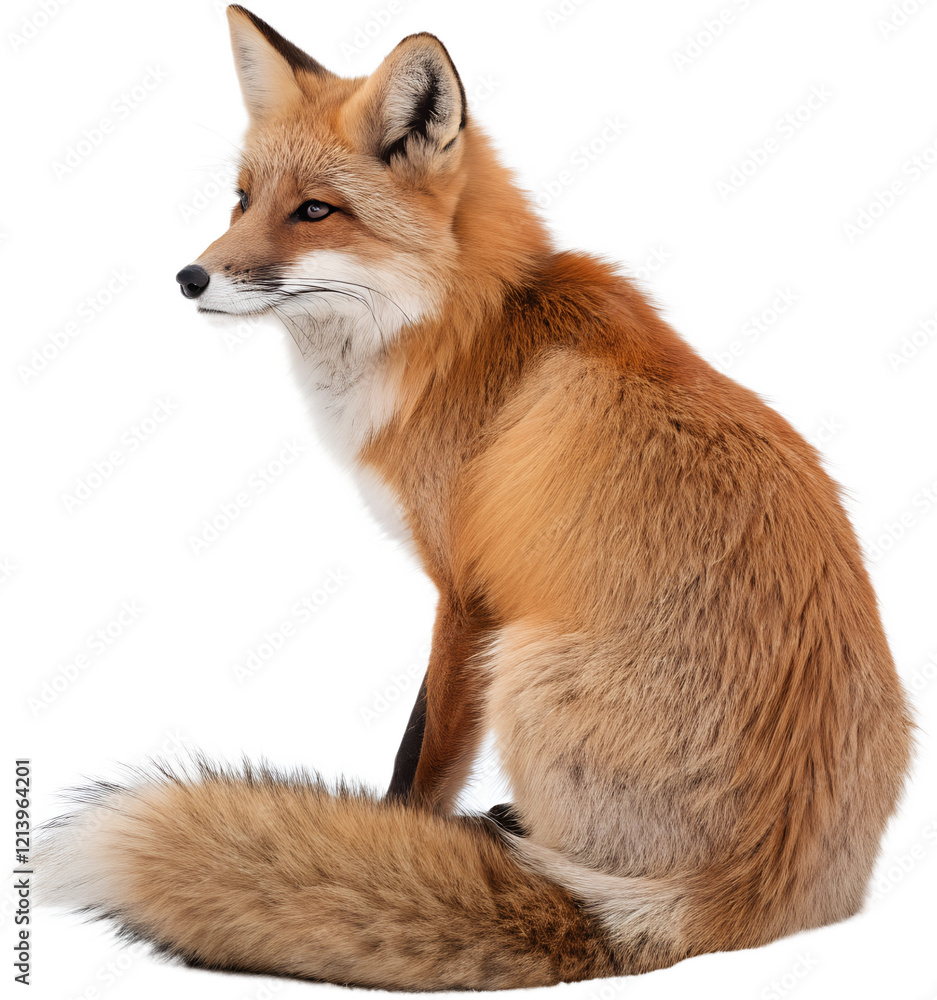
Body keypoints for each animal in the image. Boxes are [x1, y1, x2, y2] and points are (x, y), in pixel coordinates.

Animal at [36, 4, 914, 991]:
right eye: (242, 198)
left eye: (314, 211)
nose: (190, 277)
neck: (462, 328)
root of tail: (743, 902)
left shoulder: (466, 595)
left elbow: (421, 758)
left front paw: (388, 835)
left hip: (523, 665)